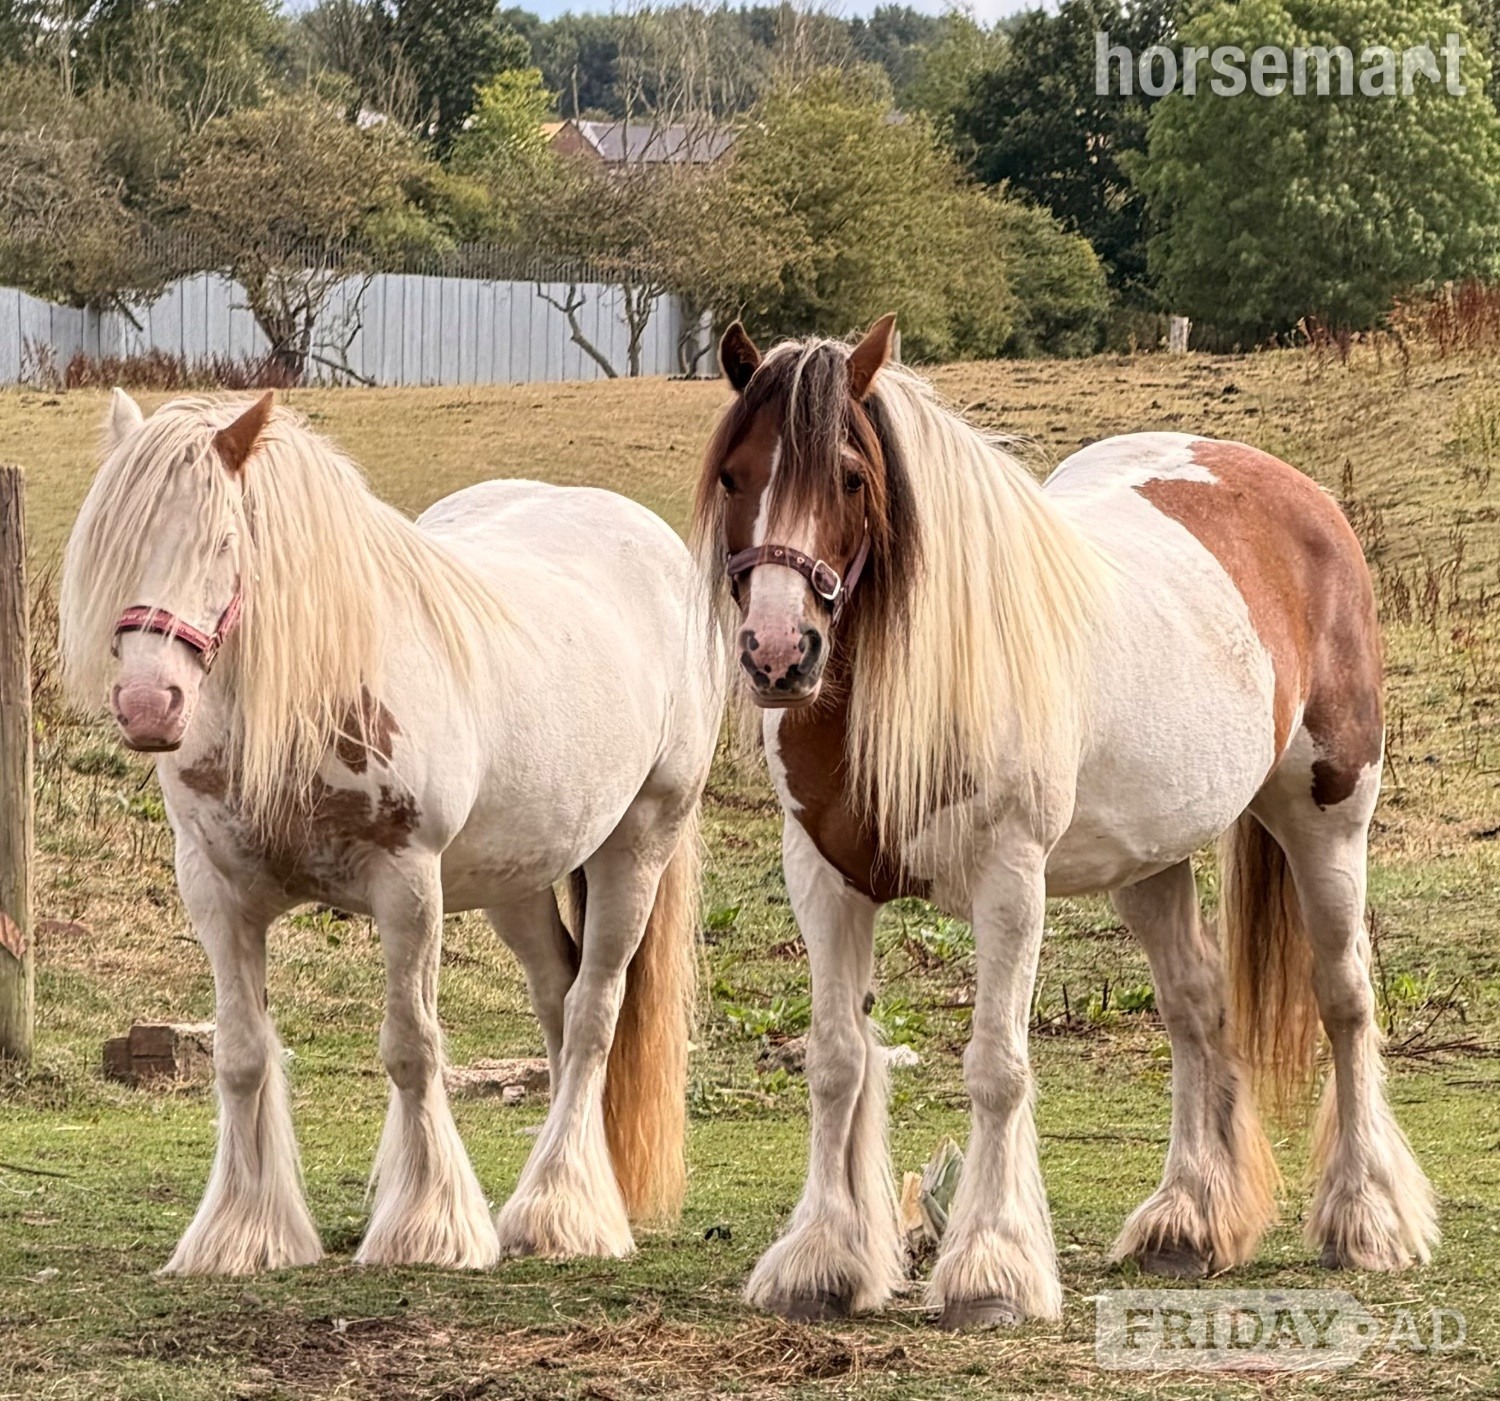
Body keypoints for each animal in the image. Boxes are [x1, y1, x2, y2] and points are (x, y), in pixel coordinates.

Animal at [61, 389, 722, 1275]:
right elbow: (241, 1054)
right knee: (558, 998)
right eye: (115, 546)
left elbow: (411, 1046)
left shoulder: (408, 883)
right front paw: (243, 1231)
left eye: (224, 542)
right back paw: (573, 1187)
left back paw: (561, 1210)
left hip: (639, 845)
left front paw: (427, 1226)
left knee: (592, 1015)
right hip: (515, 877)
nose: (147, 704)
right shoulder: (217, 890)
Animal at [692, 317, 1436, 1329]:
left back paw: (1366, 1217)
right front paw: (822, 1261)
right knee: (1195, 1007)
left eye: (849, 475)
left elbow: (997, 1066)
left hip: (1329, 816)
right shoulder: (825, 878)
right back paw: (1188, 1222)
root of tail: (1295, 492)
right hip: (1152, 859)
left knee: (1346, 998)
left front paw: (990, 1268)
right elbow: (838, 1060)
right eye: (735, 474)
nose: (778, 653)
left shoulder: (1011, 881)